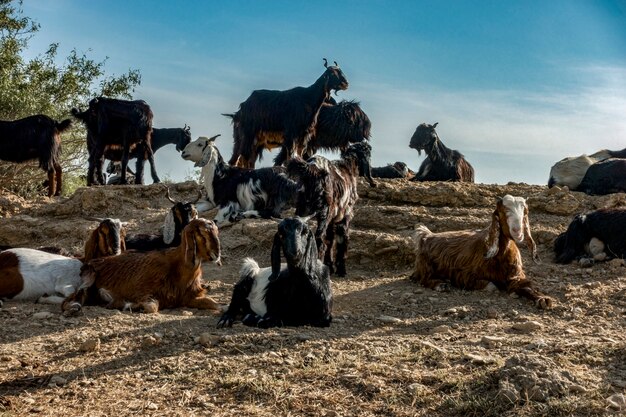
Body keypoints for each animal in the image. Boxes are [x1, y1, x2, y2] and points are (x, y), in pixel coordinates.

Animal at [61, 219, 222, 314]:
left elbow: (215, 304)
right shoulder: (143, 291)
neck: (178, 267)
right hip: (89, 277)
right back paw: (75, 307)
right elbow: (152, 307)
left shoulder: (187, 297)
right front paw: (129, 305)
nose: (217, 254)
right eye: (201, 233)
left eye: (216, 231)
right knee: (72, 298)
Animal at [286, 141, 372, 274]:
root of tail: (312, 170)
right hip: (324, 213)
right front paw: (341, 269)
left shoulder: (333, 219)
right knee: (320, 241)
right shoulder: (345, 215)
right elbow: (343, 239)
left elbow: (330, 240)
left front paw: (331, 266)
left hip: (302, 210)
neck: (348, 167)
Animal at [410, 193, 552, 308]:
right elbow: (491, 286)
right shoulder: (465, 275)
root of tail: (427, 236)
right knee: (423, 279)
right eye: (503, 211)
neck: (499, 256)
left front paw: (543, 299)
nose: (517, 231)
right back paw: (442, 285)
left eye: (525, 212)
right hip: (425, 265)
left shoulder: (516, 275)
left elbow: (527, 287)